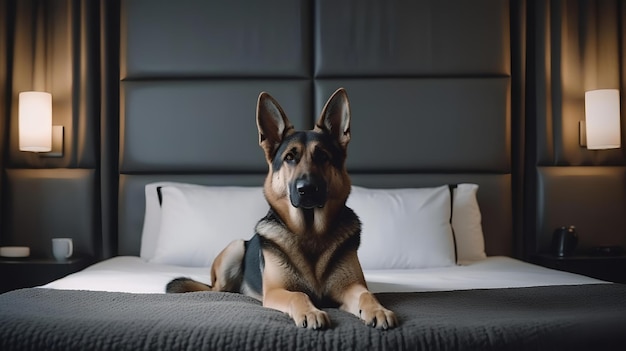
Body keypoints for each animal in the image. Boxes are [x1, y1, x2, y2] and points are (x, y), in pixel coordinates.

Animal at [167, 88, 394, 330]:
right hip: (235, 248)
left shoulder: (351, 287)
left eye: (323, 156)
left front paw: (378, 310)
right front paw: (311, 312)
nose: (307, 189)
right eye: (290, 158)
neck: (310, 233)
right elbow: (299, 295)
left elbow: (367, 294)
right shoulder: (277, 291)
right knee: (219, 289)